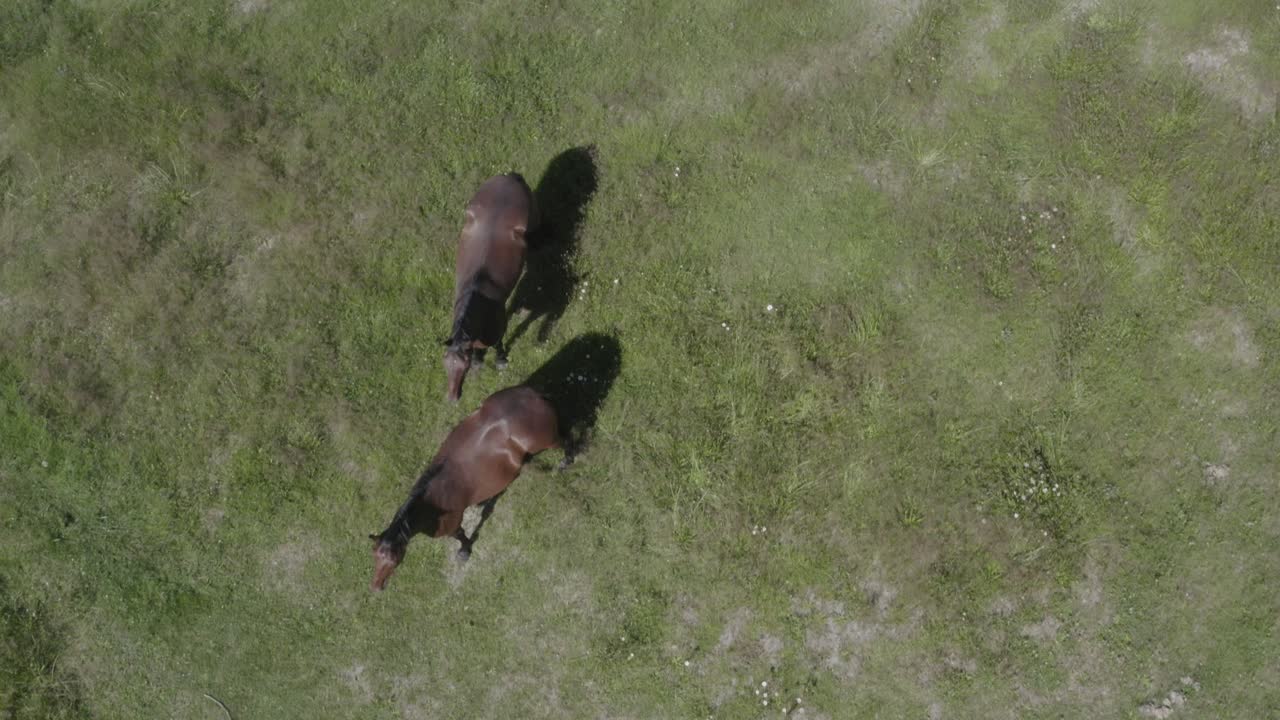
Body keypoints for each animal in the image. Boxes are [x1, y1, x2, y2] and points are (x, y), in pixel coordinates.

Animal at [369, 385, 562, 592]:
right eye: (374, 555)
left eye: (394, 561)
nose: (376, 587)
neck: (431, 505)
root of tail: (534, 397)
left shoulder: (452, 524)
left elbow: (460, 535)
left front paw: (464, 551)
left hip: (549, 441)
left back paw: (562, 465)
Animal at [443, 173, 535, 403]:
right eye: (445, 364)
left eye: (463, 366)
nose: (452, 398)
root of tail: (509, 177)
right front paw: (479, 361)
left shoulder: (498, 325)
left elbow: (499, 342)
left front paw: (500, 361)